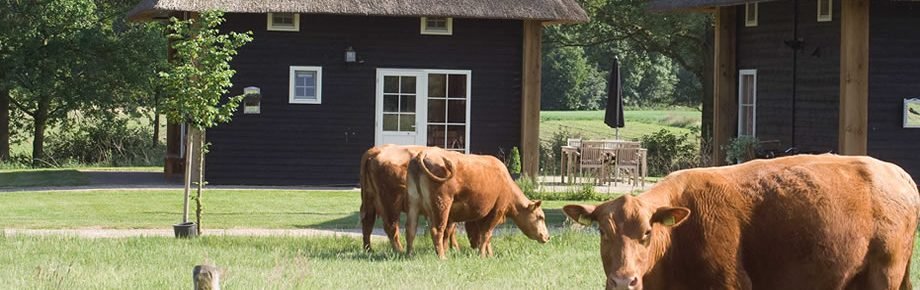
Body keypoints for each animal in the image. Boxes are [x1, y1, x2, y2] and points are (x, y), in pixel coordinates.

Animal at [408, 147, 548, 258]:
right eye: (540, 217)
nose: (547, 237)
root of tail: (425, 152)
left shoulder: (481, 216)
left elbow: (484, 236)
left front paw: (489, 255)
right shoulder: (497, 211)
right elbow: (486, 234)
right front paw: (482, 255)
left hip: (414, 204)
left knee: (411, 229)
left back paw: (409, 254)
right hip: (442, 205)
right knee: (437, 231)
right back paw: (442, 257)